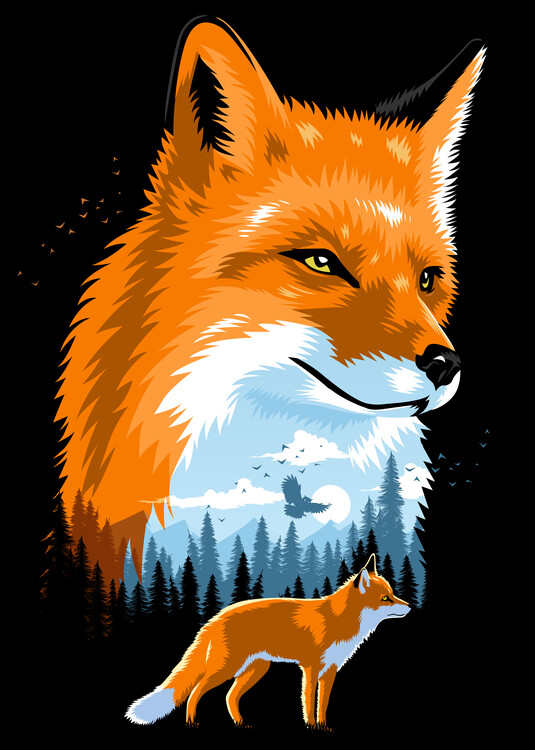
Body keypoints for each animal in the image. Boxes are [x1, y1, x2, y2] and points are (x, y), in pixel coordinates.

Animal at [126, 554, 409, 728]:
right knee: (196, 691)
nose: (409, 607)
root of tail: (217, 616)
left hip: (255, 670)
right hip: (227, 668)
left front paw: (324, 728)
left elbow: (323, 705)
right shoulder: (310, 668)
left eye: (392, 594)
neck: (339, 620)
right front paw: (311, 727)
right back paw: (192, 723)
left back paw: (241, 725)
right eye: (385, 598)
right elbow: (309, 703)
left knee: (229, 697)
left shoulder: (330, 671)